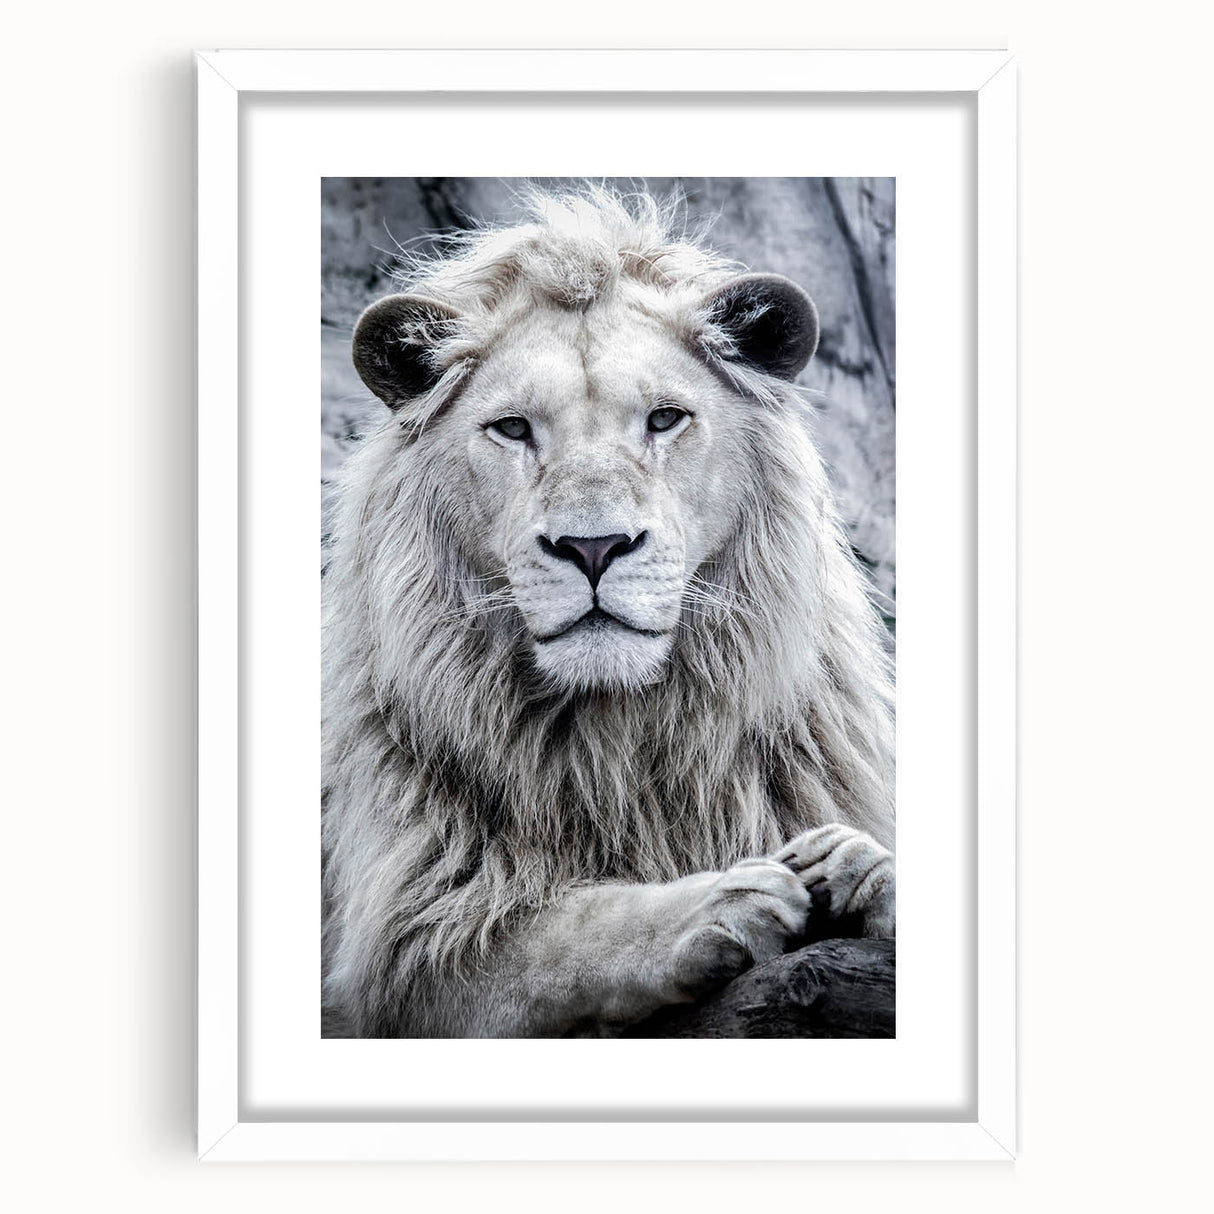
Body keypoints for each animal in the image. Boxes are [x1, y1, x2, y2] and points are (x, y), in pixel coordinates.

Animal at [322, 188, 895, 1038]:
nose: (593, 549)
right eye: (513, 428)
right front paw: (720, 900)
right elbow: (562, 932)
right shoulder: (411, 948)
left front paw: (860, 866)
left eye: (664, 419)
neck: (618, 741)